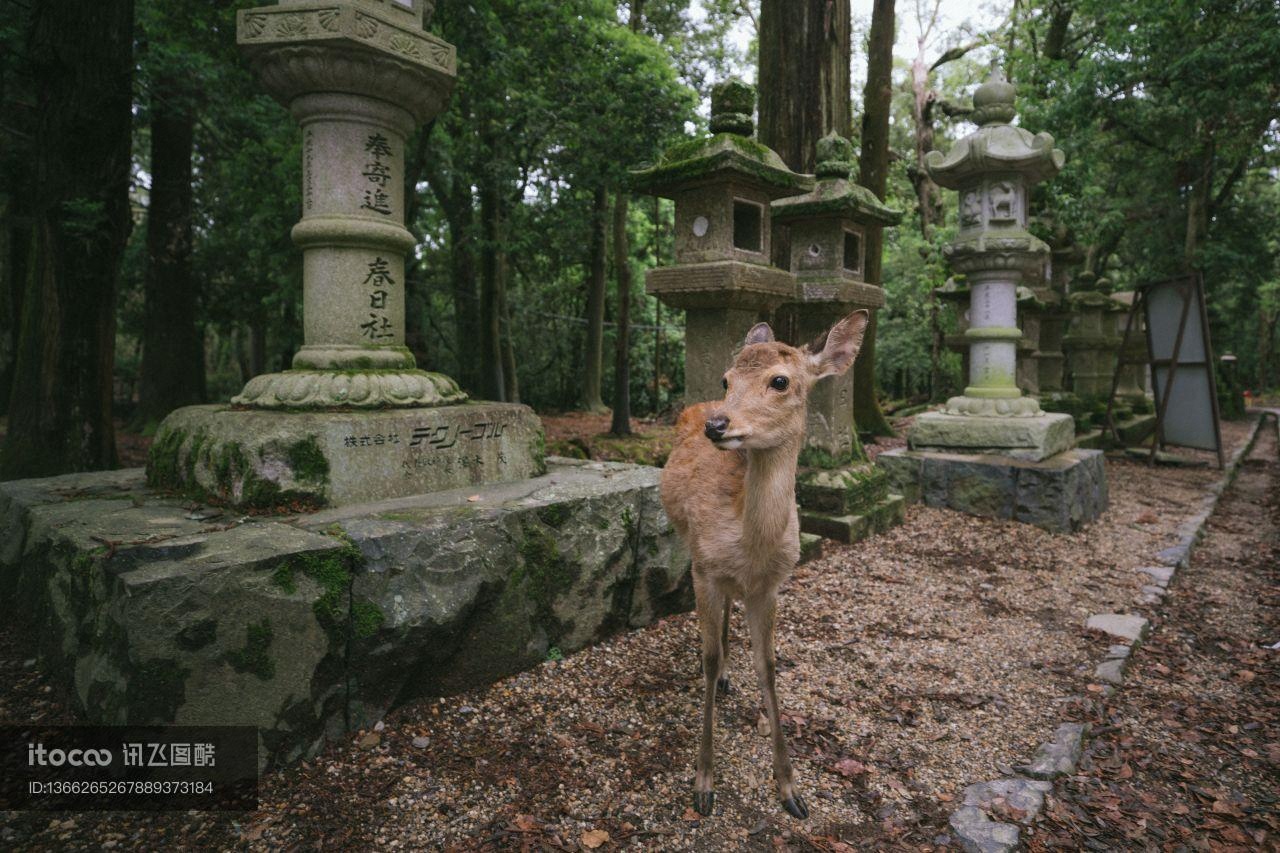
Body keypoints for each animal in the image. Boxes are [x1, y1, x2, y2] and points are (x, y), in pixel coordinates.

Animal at [660, 307, 870, 819]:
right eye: (727, 378)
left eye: (780, 380)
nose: (717, 425)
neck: (750, 543)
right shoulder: (704, 569)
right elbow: (708, 659)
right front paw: (704, 783)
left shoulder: (771, 585)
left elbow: (769, 665)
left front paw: (791, 789)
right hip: (686, 544)